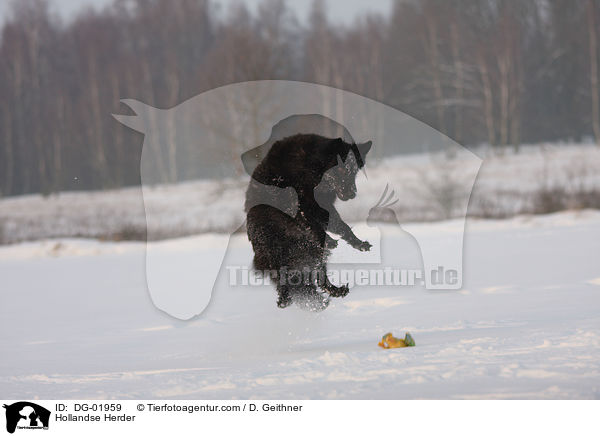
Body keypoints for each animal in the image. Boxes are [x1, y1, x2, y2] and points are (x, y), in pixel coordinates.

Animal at [244, 133, 370, 310]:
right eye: (340, 169)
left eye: (354, 171)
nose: (352, 194)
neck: (311, 165)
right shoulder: (298, 202)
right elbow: (309, 221)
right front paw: (330, 240)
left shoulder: (323, 207)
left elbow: (342, 226)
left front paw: (358, 243)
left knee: (312, 278)